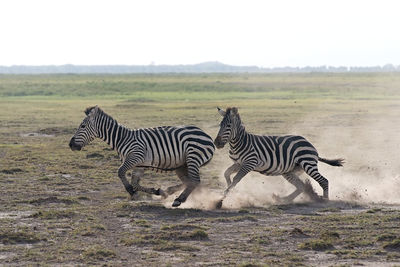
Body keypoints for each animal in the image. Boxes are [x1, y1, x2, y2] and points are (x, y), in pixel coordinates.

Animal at [68, 106, 216, 207]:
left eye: (83, 126)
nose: (71, 144)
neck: (122, 139)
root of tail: (207, 135)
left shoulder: (135, 157)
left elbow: (120, 172)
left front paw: (131, 192)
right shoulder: (139, 165)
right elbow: (135, 182)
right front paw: (157, 191)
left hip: (193, 157)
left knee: (194, 181)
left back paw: (179, 200)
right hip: (181, 164)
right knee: (189, 181)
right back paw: (171, 193)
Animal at [216, 107, 344, 209]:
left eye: (228, 126)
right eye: (220, 125)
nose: (217, 143)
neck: (240, 143)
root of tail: (310, 144)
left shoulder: (249, 163)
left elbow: (236, 179)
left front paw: (222, 199)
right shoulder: (238, 163)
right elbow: (226, 173)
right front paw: (229, 189)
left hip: (308, 164)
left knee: (324, 181)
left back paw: (325, 201)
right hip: (288, 171)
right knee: (301, 186)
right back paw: (283, 199)